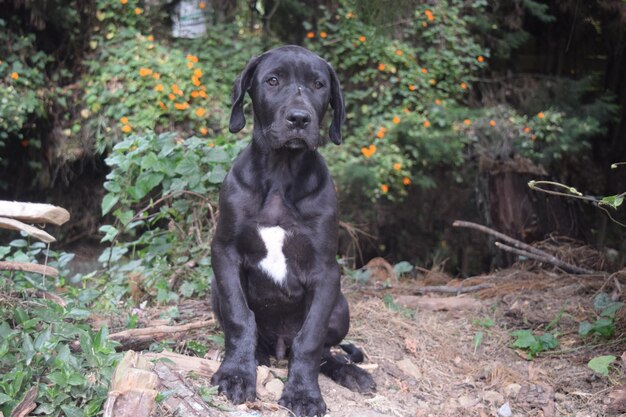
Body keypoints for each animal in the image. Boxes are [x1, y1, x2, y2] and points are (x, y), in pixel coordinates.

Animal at [210, 44, 376, 414]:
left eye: (318, 85)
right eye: (272, 81)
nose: (299, 119)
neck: (281, 171)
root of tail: (279, 347)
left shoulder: (326, 271)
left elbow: (310, 340)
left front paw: (303, 393)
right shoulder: (225, 252)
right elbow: (240, 319)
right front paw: (236, 375)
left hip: (341, 305)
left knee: (326, 351)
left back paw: (351, 372)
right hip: (214, 289)